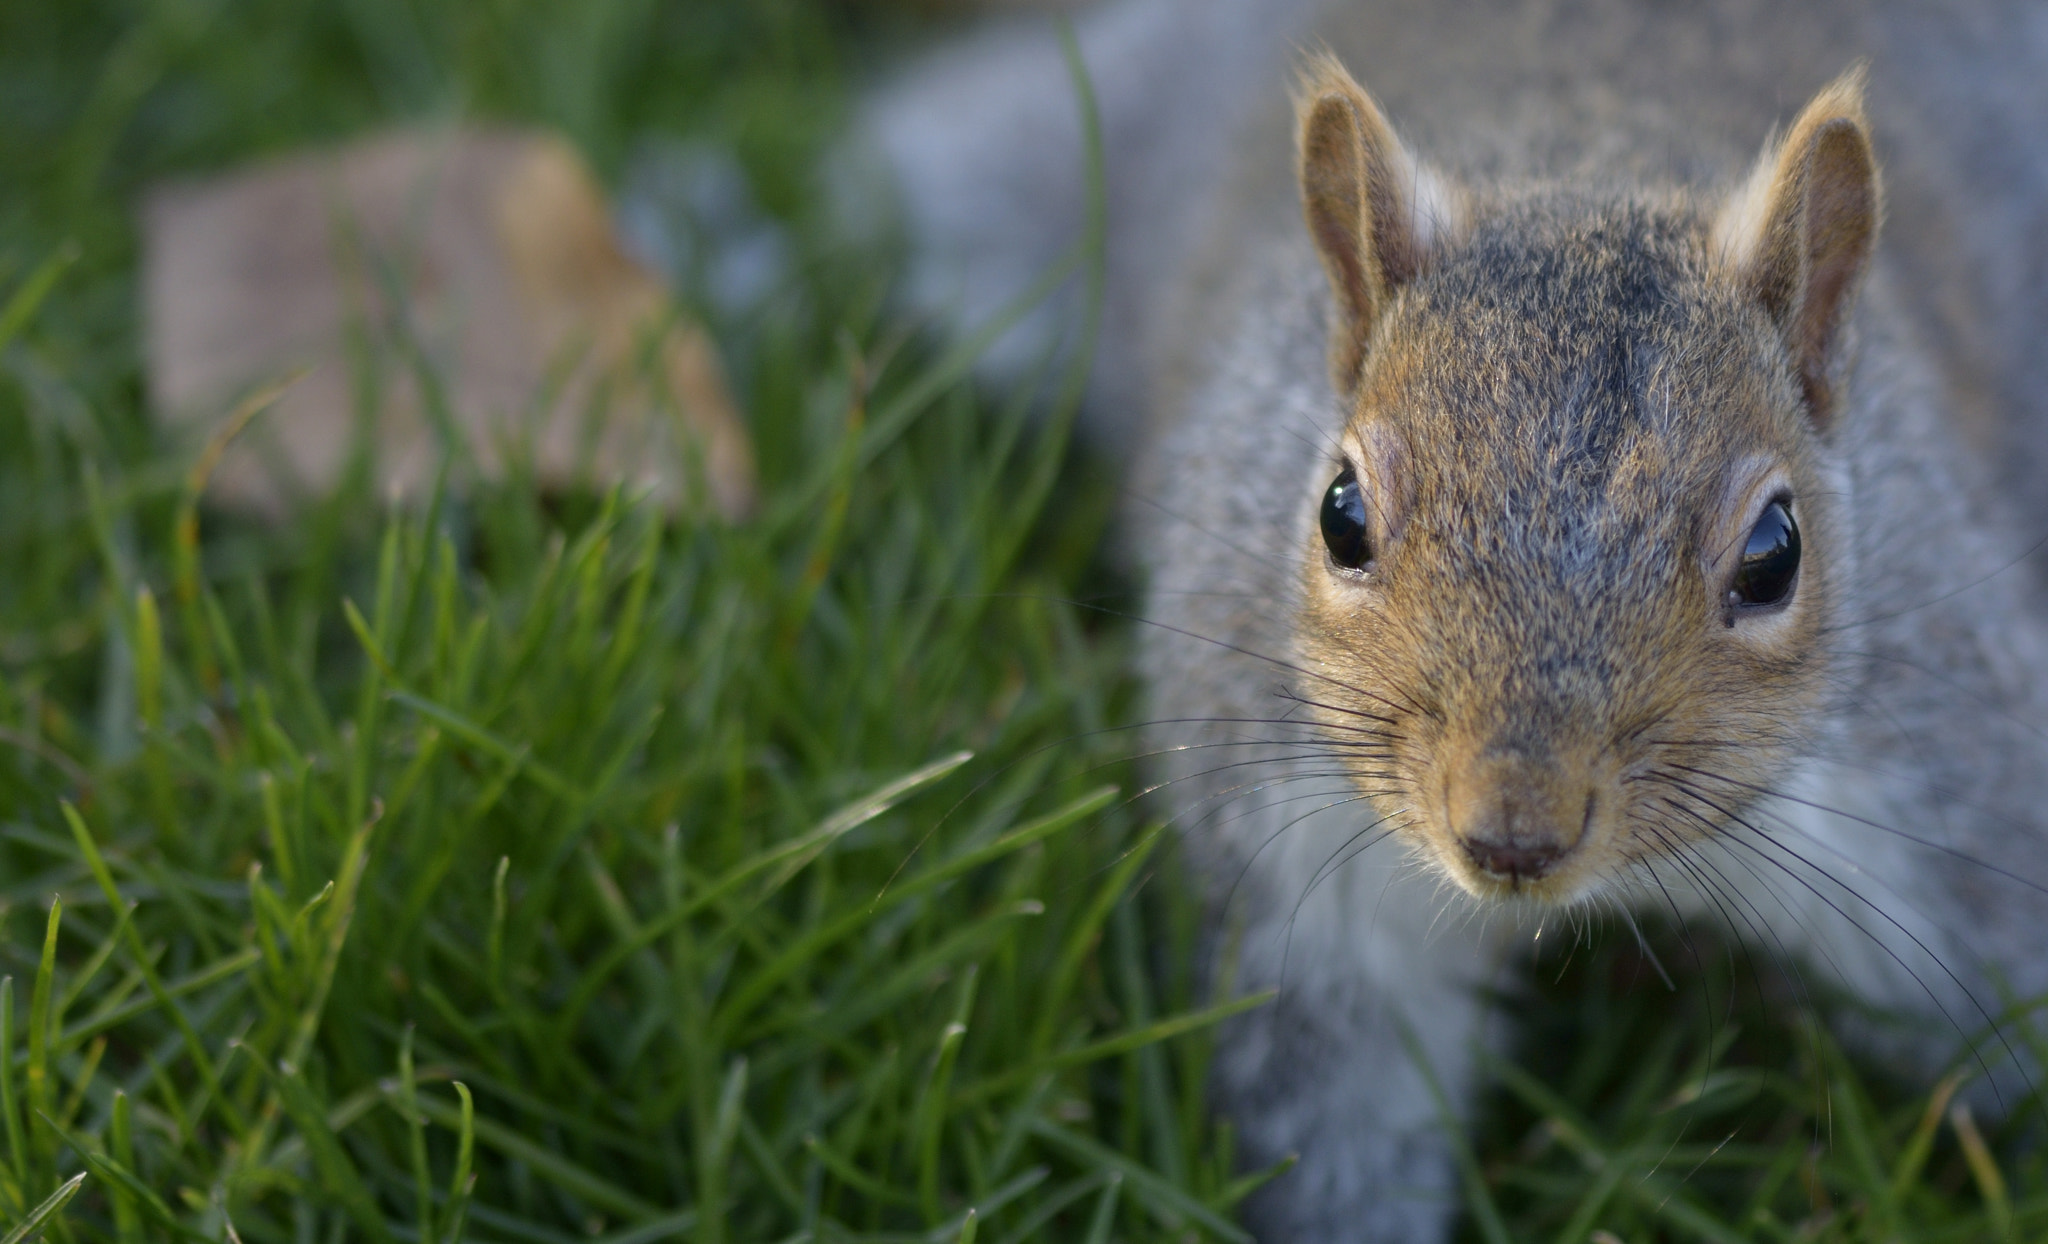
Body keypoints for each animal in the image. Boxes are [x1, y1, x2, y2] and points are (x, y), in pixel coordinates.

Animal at [864, 2, 2048, 1244]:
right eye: (1338, 513)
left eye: (1774, 553)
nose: (1511, 831)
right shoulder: (1308, 893)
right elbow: (1334, 1118)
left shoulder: (1953, 818)